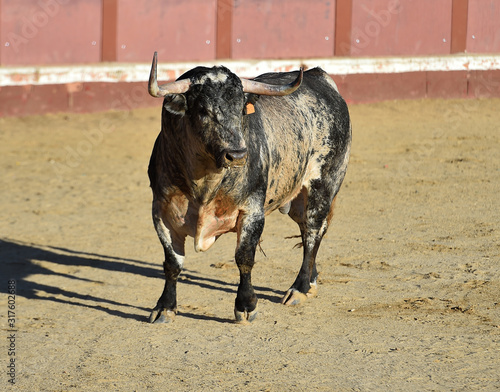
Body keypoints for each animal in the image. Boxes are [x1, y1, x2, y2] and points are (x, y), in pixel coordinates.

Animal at [146, 52, 352, 324]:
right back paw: (311, 282)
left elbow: (244, 257)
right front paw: (165, 307)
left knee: (312, 234)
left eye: (240, 110)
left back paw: (299, 288)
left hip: (324, 184)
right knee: (310, 232)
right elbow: (172, 263)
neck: (204, 181)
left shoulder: (252, 211)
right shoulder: (162, 212)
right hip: (297, 199)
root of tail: (321, 77)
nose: (236, 154)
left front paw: (245, 305)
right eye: (202, 110)